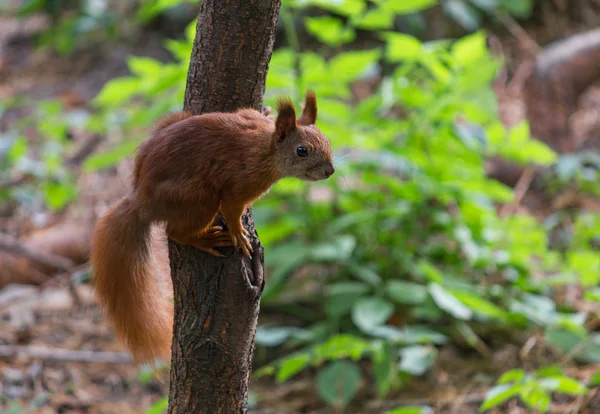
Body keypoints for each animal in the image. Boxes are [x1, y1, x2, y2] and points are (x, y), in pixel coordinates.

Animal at [90, 90, 332, 362]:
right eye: (302, 151)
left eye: (326, 140)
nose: (330, 171)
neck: (266, 147)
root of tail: (142, 201)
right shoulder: (242, 183)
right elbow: (233, 208)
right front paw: (239, 235)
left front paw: (267, 111)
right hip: (200, 197)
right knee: (173, 231)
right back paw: (206, 240)